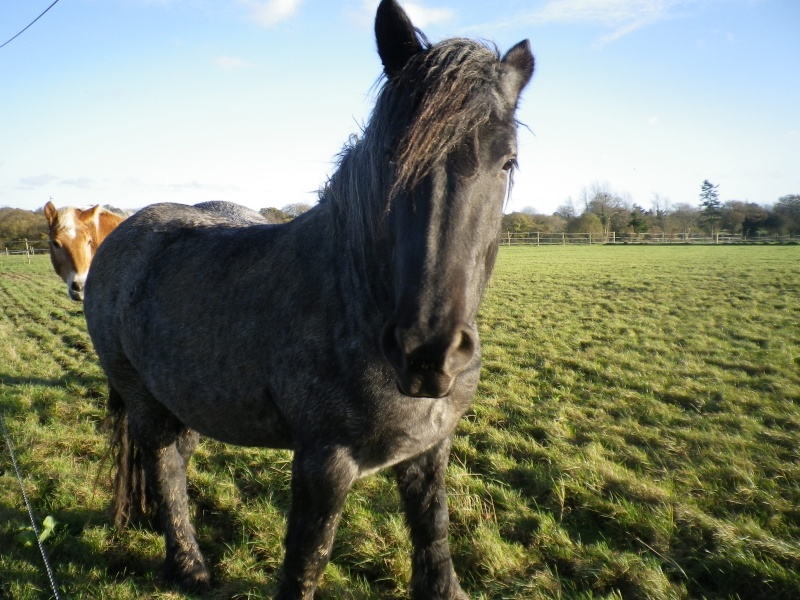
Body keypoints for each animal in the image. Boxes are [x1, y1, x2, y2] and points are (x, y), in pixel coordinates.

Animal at [84, 2, 536, 596]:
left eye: (507, 162)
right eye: (392, 156)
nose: (428, 353)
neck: (354, 299)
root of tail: (120, 231)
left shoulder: (430, 448)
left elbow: (433, 533)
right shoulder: (324, 464)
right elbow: (307, 560)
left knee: (177, 459)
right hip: (144, 402)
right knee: (164, 471)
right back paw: (188, 566)